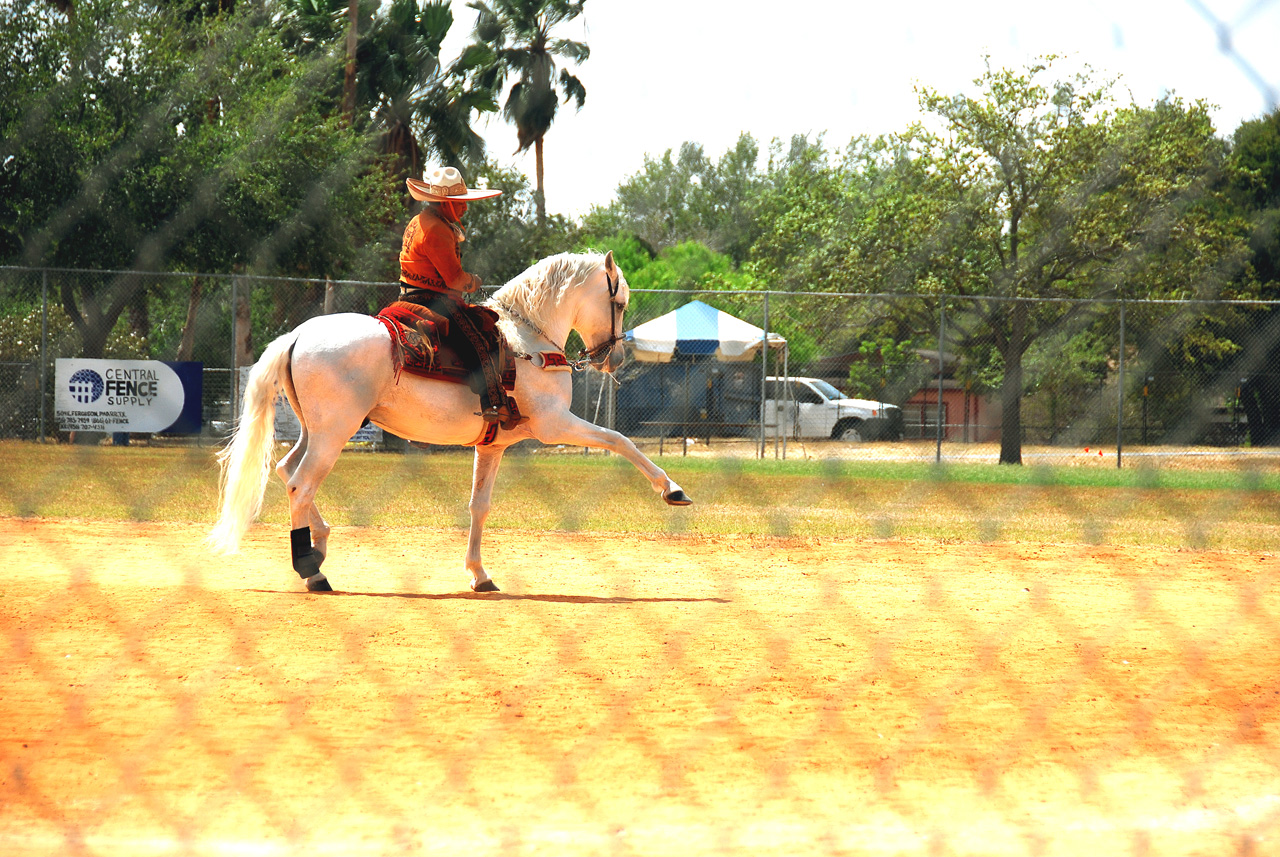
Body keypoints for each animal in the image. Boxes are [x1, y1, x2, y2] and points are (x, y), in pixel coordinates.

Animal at [209, 251, 691, 593]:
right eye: (620, 302)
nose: (616, 358)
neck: (528, 341)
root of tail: (299, 334)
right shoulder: (555, 424)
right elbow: (620, 440)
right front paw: (672, 489)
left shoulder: (492, 446)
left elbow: (479, 506)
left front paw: (479, 575)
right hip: (333, 433)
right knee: (300, 484)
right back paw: (311, 570)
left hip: (315, 430)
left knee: (286, 468)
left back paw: (319, 544)